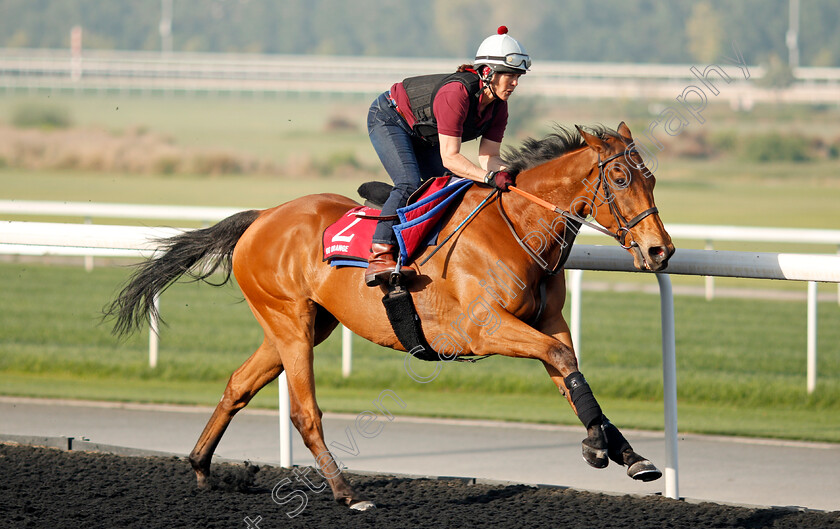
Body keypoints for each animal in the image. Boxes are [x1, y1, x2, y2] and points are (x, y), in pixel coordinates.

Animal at [108, 121, 676, 510]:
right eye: (619, 177)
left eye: (651, 179)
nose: (660, 251)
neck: (516, 227)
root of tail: (262, 217)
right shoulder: (484, 328)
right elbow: (561, 358)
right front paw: (600, 448)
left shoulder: (545, 322)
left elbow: (570, 369)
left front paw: (627, 455)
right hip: (290, 324)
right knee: (304, 412)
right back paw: (345, 491)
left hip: (300, 325)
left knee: (238, 385)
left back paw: (203, 467)